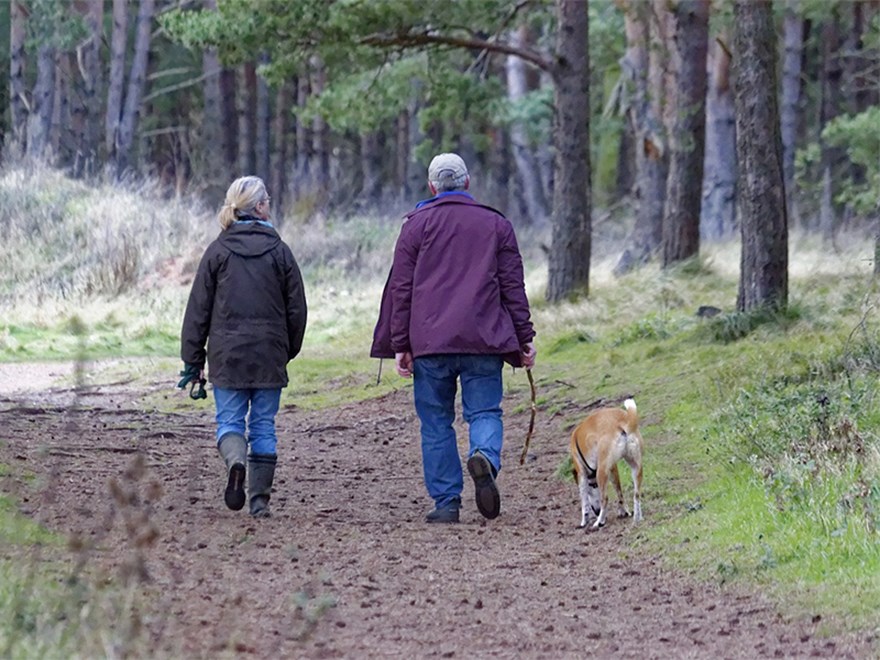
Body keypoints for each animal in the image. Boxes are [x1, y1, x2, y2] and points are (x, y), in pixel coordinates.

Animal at [568, 398, 644, 532]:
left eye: (591, 488)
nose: (597, 512)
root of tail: (621, 422)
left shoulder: (581, 473)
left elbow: (584, 502)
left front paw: (584, 521)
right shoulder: (613, 468)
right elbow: (619, 492)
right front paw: (624, 511)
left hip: (602, 472)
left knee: (605, 499)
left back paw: (599, 522)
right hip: (636, 467)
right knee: (636, 494)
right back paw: (637, 518)